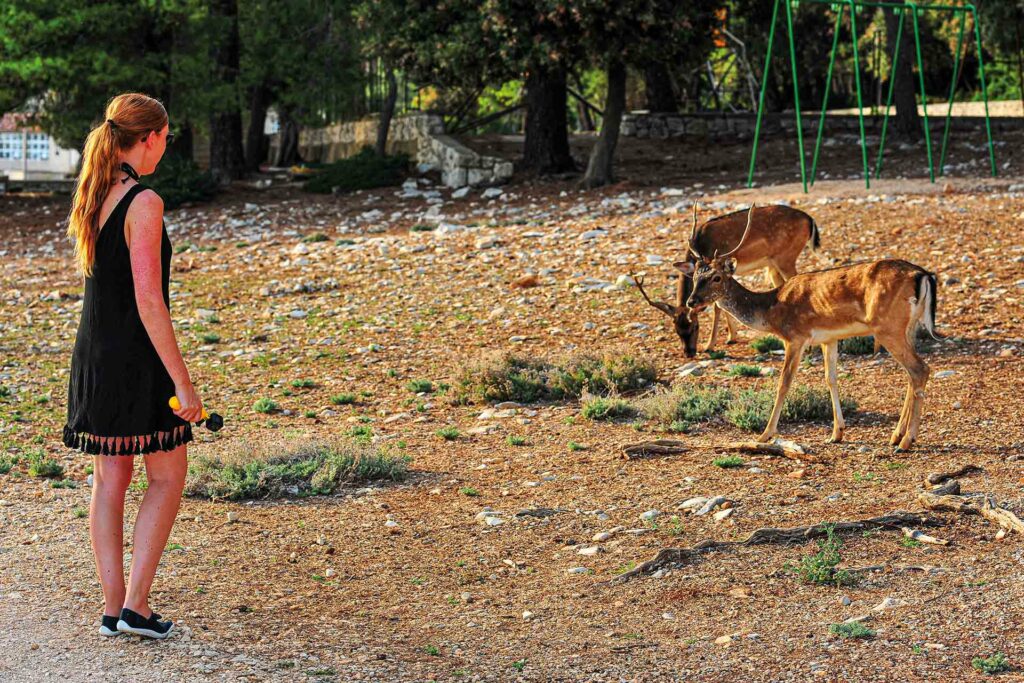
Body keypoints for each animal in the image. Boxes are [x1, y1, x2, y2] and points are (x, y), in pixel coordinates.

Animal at [634, 201, 819, 358]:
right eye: (676, 330)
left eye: (695, 327)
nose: (689, 353)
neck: (703, 244)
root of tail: (810, 219)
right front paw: (731, 336)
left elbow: (717, 307)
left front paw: (710, 345)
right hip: (773, 264)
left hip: (786, 257)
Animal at [684, 205, 937, 450]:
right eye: (695, 276)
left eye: (716, 277)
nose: (691, 301)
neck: (771, 309)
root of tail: (922, 275)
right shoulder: (828, 338)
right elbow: (830, 378)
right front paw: (836, 433)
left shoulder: (795, 336)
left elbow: (784, 382)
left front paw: (766, 434)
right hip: (908, 327)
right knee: (911, 374)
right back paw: (896, 435)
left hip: (887, 326)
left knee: (920, 369)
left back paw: (906, 441)